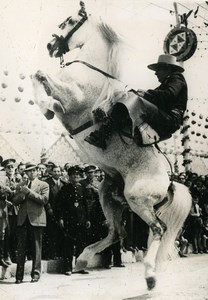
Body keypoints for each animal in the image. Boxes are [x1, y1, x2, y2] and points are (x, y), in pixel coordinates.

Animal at [31, 1, 192, 290]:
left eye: (69, 20)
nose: (51, 45)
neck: (90, 68)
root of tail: (169, 183)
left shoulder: (72, 95)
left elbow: (39, 75)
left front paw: (49, 105)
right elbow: (37, 78)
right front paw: (47, 107)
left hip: (137, 199)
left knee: (157, 229)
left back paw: (150, 275)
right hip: (107, 195)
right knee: (117, 232)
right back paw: (84, 259)